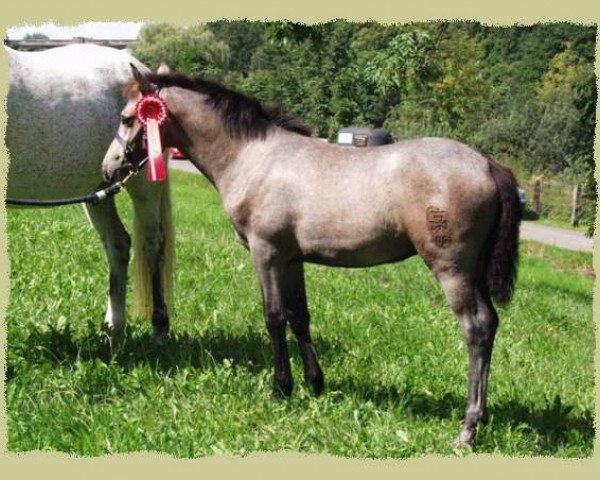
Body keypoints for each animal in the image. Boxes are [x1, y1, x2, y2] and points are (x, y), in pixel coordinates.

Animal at [5, 43, 173, 340]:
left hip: (144, 186)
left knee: (153, 244)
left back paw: (159, 327)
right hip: (100, 190)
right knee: (118, 244)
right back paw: (113, 329)